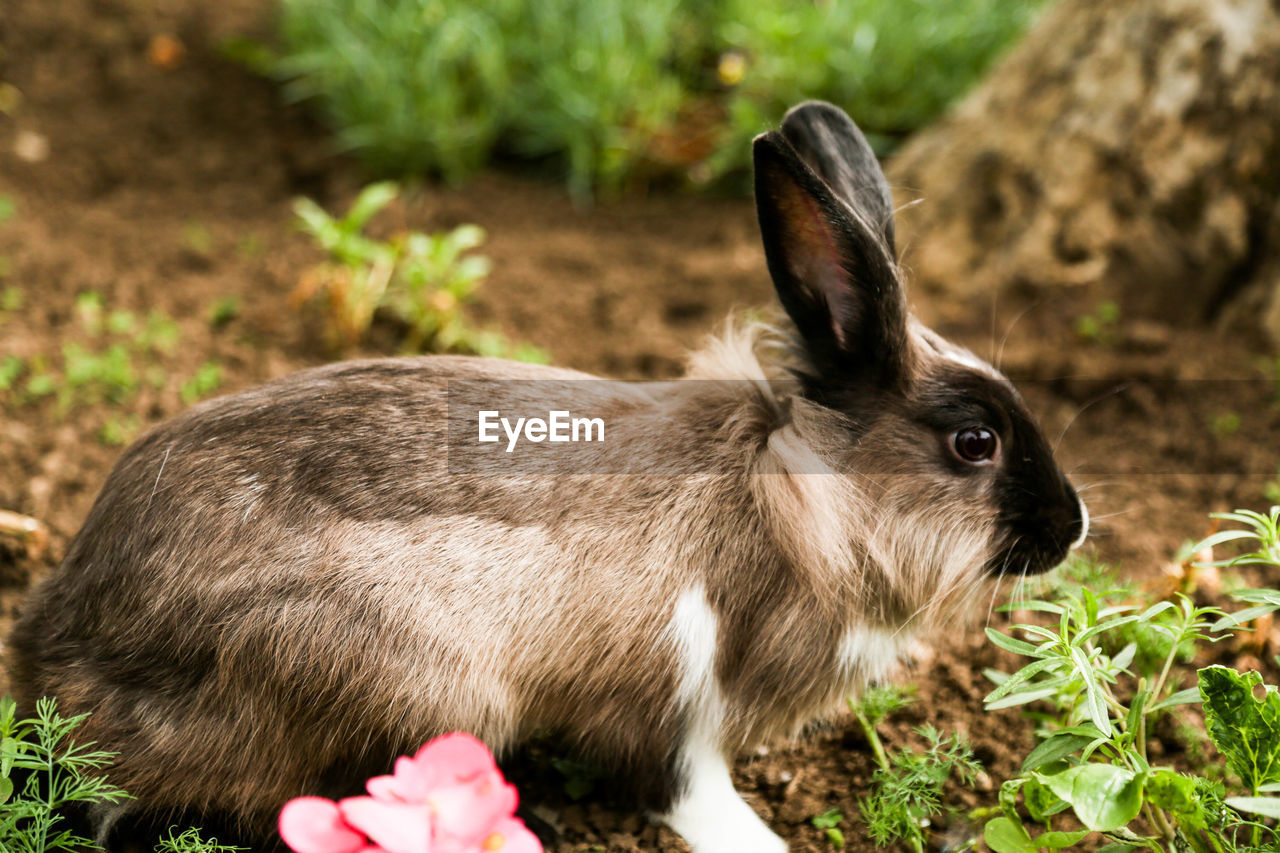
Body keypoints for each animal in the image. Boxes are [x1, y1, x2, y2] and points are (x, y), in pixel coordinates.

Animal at [5, 104, 1085, 850]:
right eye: (974, 443)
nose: (1072, 526)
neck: (806, 494)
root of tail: (56, 653)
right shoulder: (676, 702)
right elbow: (687, 789)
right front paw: (759, 840)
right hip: (424, 690)